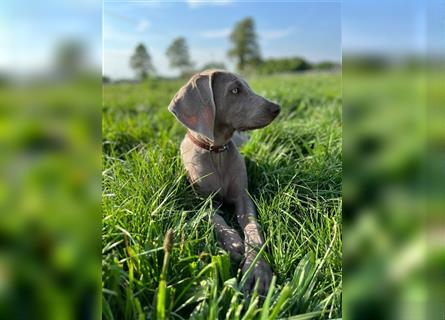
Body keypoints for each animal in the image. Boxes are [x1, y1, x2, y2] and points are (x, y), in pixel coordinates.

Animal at [168, 69, 280, 296]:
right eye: (235, 90)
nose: (276, 108)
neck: (216, 152)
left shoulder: (243, 198)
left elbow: (253, 227)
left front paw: (257, 270)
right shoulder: (202, 201)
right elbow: (215, 217)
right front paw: (233, 242)